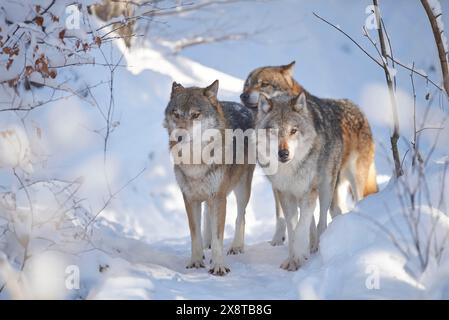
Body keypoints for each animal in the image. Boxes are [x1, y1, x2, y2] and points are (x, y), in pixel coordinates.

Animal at [164, 79, 256, 276]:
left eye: (195, 115)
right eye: (176, 114)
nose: (179, 136)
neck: (195, 161)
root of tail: (240, 105)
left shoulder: (219, 197)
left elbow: (218, 236)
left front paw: (219, 266)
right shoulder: (189, 198)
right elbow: (195, 234)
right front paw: (196, 261)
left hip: (242, 189)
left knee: (241, 215)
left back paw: (236, 247)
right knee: (208, 215)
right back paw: (207, 246)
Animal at [240, 62, 376, 246]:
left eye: (264, 84)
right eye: (246, 85)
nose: (243, 96)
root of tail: (357, 108)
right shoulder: (280, 187)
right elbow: (284, 217)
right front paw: (279, 240)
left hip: (348, 181)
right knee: (336, 211)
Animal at [254, 92, 344, 270]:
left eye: (293, 130)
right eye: (273, 131)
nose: (283, 153)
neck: (290, 170)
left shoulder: (309, 191)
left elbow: (301, 227)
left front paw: (299, 254)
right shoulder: (285, 194)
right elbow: (293, 228)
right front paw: (292, 259)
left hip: (325, 188)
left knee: (322, 219)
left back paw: (318, 245)